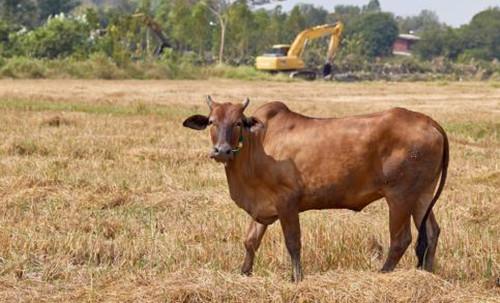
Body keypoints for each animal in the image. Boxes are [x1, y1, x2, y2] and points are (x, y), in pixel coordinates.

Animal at [183, 97, 450, 282]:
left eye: (238, 122)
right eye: (211, 122)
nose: (222, 151)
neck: (258, 145)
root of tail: (429, 122)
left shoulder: (287, 202)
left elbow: (293, 242)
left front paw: (296, 278)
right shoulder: (263, 207)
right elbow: (250, 241)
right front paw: (244, 273)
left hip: (400, 197)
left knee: (400, 239)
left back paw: (382, 274)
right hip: (422, 196)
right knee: (431, 232)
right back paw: (429, 274)